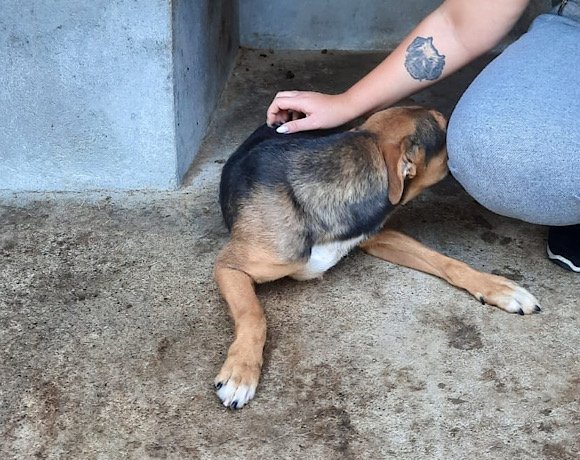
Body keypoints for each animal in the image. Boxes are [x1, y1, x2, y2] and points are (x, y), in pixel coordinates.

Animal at [214, 106, 540, 409]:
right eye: (443, 124)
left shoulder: (374, 236)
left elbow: (445, 261)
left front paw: (497, 287)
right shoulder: (229, 265)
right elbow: (253, 314)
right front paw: (241, 372)